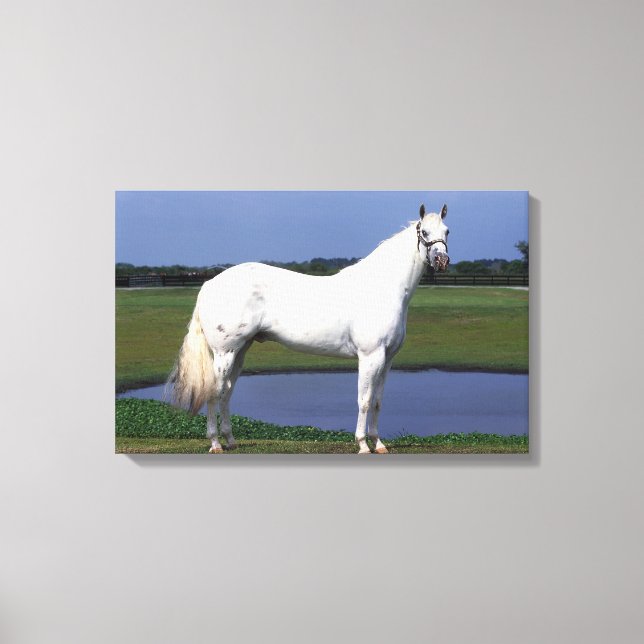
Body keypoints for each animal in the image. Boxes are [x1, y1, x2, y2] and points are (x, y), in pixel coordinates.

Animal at [167, 203, 450, 454]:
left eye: (447, 231)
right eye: (424, 232)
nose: (442, 260)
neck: (380, 289)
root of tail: (210, 284)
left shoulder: (387, 358)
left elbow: (378, 401)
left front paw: (379, 444)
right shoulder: (370, 357)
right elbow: (364, 400)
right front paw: (362, 445)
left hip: (240, 352)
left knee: (226, 392)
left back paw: (230, 441)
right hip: (224, 353)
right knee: (214, 392)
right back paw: (215, 444)